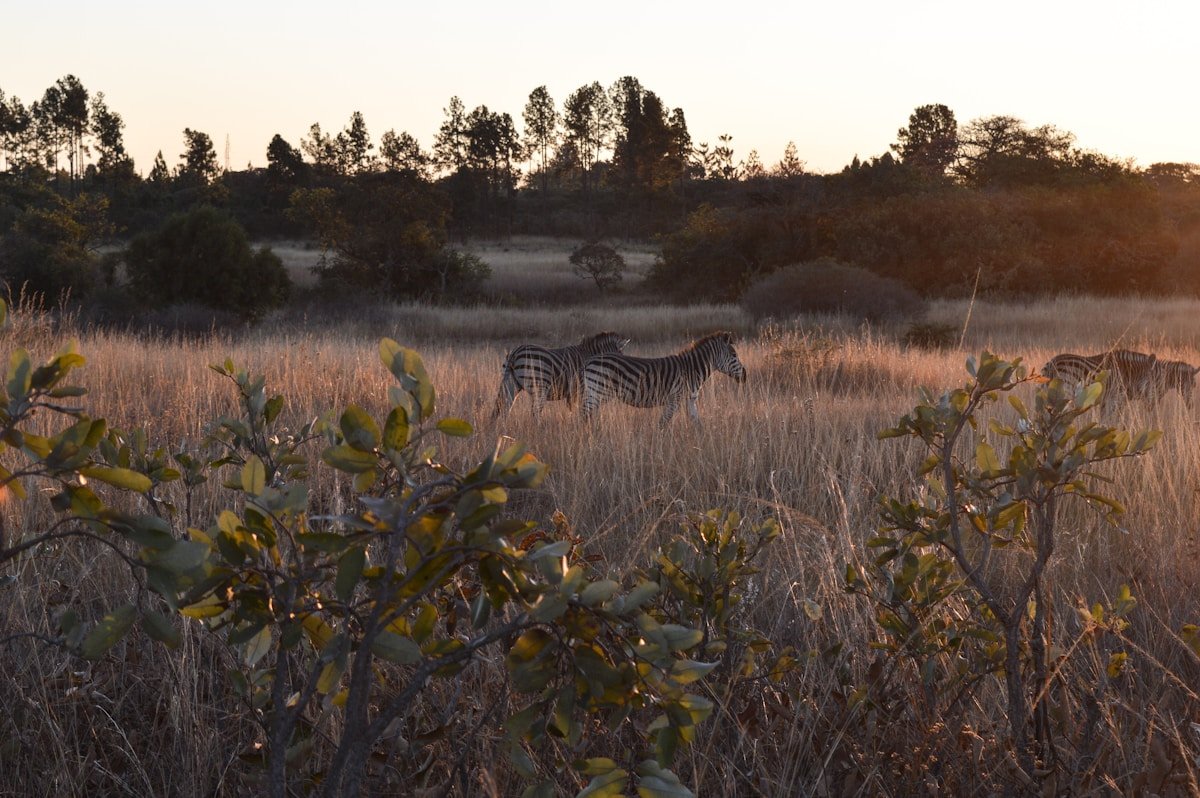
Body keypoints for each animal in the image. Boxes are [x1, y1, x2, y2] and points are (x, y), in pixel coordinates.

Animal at [493, 331, 630, 417]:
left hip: (511, 384)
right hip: (539, 388)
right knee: (535, 413)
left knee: (501, 409)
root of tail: (515, 352)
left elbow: (573, 411)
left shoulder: (573, 393)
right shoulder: (581, 390)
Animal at [580, 331, 747, 427]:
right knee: (585, 415)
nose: (745, 376)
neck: (691, 369)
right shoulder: (674, 399)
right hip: (599, 392)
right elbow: (663, 424)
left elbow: (698, 423)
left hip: (595, 392)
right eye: (734, 355)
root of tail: (590, 359)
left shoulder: (690, 399)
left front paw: (703, 443)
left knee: (586, 414)